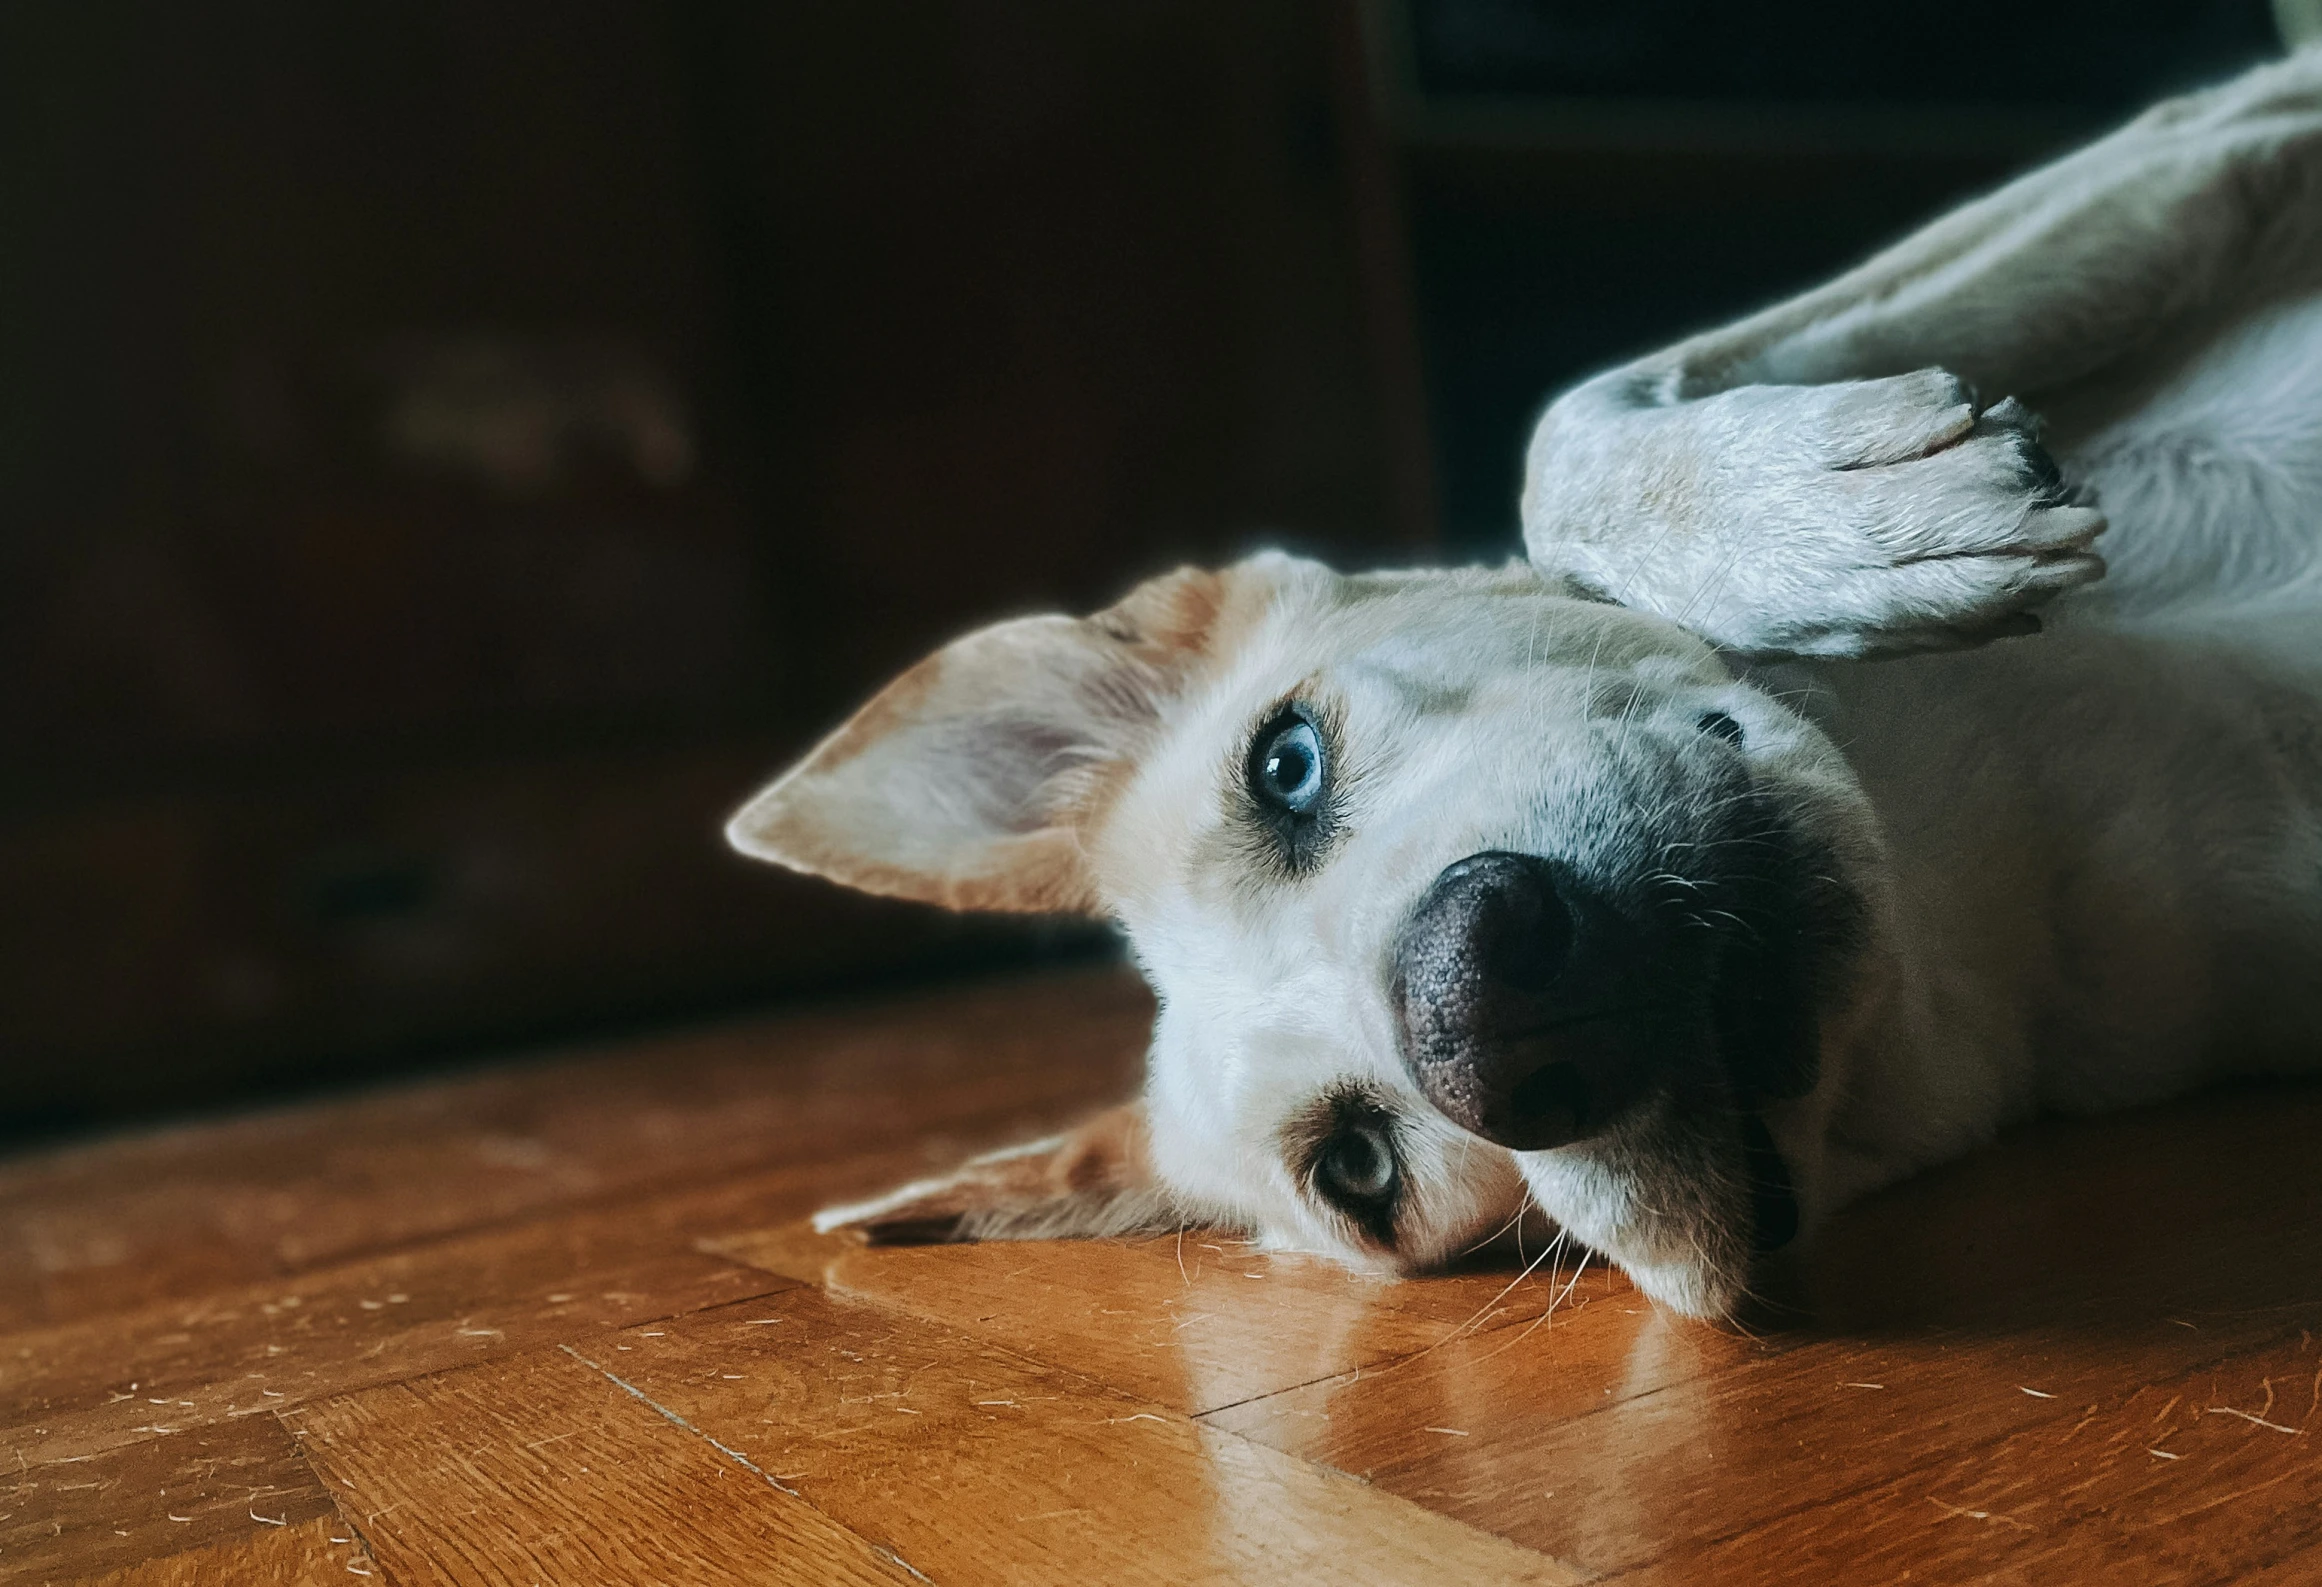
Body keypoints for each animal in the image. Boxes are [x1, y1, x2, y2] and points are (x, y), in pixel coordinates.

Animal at [724, 49, 2322, 1319]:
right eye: (1359, 1168)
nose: (1485, 1006)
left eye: (1282, 764)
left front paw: (1843, 523)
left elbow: (1568, 432)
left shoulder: (2213, 125)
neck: (2013, 842)